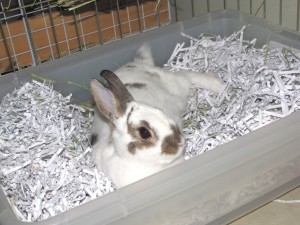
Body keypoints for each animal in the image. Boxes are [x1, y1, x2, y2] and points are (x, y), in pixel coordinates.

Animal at [88, 44, 224, 188]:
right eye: (144, 132)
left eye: (159, 111)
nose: (180, 142)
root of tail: (137, 63)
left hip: (175, 82)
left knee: (188, 75)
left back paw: (219, 85)